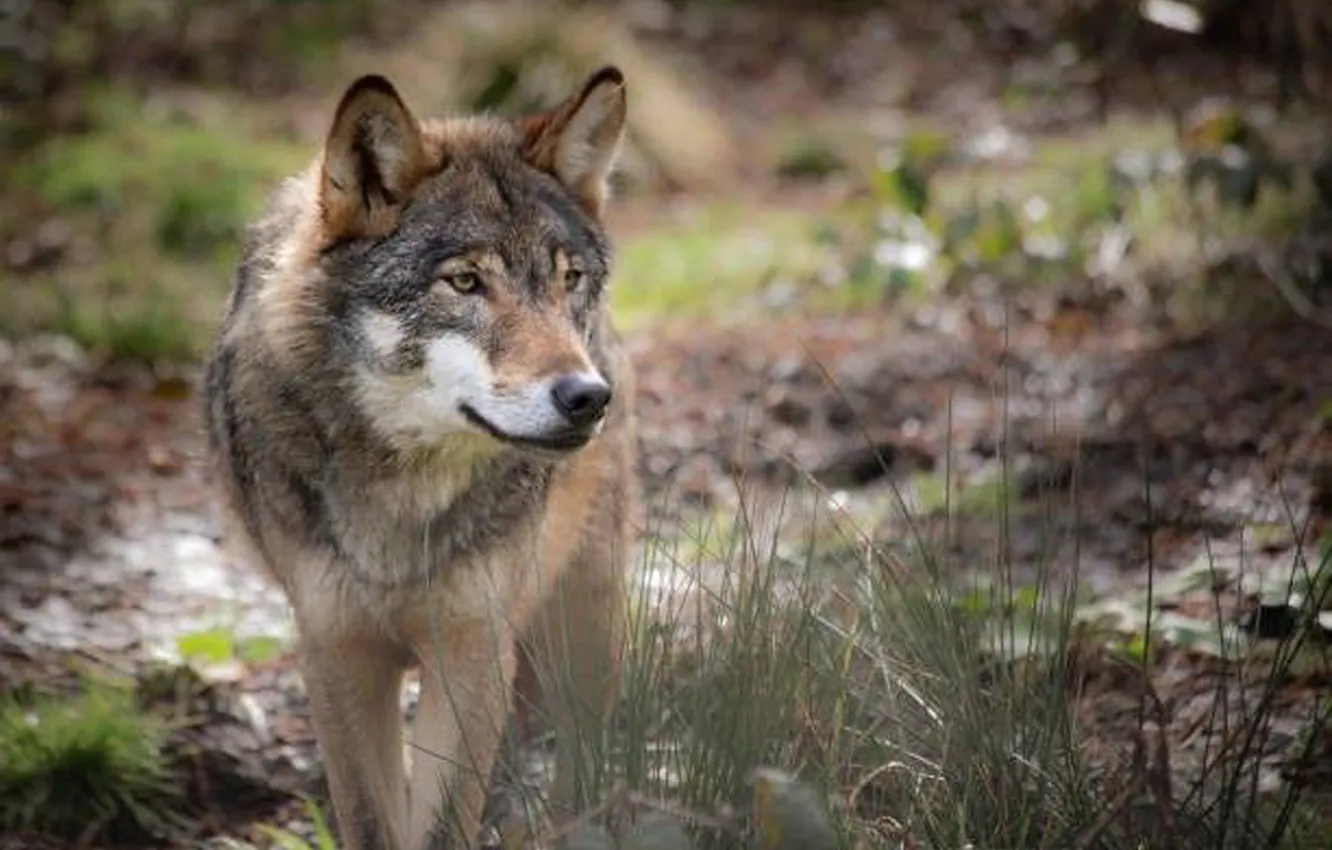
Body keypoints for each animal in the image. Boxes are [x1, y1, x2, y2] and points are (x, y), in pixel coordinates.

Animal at [201, 66, 637, 850]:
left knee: (581, 772)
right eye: (465, 283)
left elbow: (442, 825)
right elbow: (379, 822)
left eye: (569, 279)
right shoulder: (337, 655)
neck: (401, 497)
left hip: (584, 628)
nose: (588, 397)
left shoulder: (473, 653)